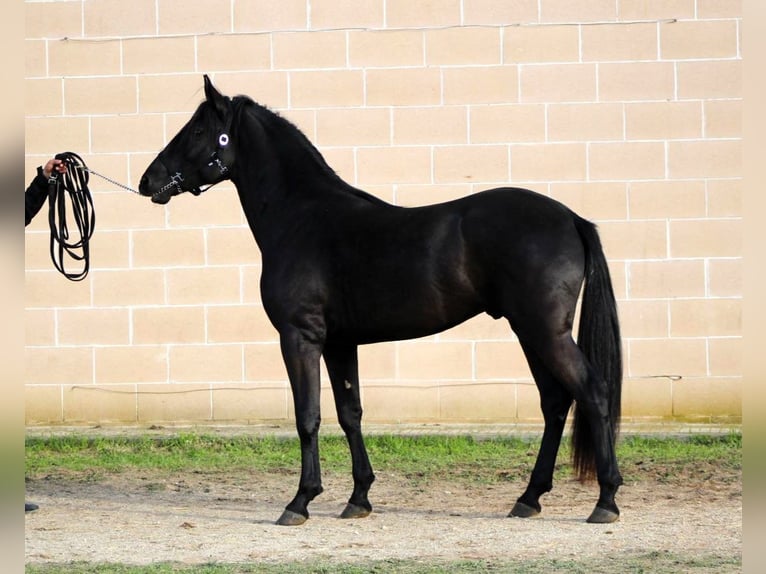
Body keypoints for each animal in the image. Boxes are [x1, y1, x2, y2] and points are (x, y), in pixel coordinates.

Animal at [140, 75, 624, 528]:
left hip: (545, 332)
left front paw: (300, 501)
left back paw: (605, 500)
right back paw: (529, 498)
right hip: (529, 332)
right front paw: (358, 498)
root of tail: (570, 218)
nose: (149, 181)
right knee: (555, 403)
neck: (302, 218)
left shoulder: (300, 337)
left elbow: (307, 416)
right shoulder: (339, 343)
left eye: (197, 130)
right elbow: (349, 413)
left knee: (592, 392)